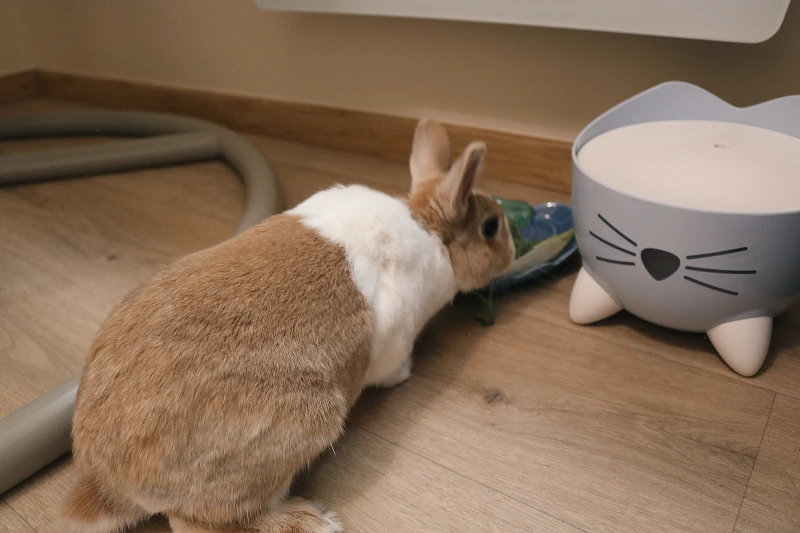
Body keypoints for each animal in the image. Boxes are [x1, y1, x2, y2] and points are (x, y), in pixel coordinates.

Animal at [60, 119, 515, 533]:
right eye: (491, 226)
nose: (511, 254)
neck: (427, 226)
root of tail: (106, 483)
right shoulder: (397, 340)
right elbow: (393, 367)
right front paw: (405, 376)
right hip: (304, 426)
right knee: (197, 523)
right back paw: (313, 521)